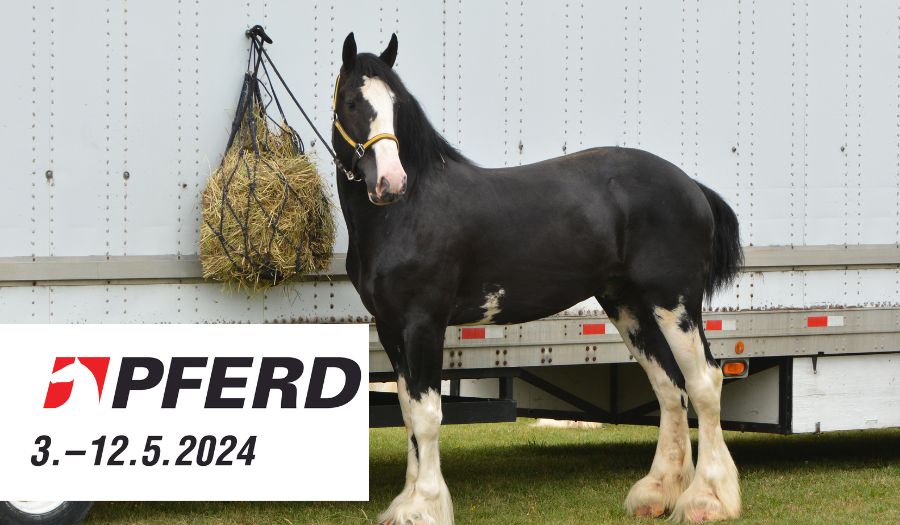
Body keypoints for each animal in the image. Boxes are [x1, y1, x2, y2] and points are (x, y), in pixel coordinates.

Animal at [331, 32, 743, 524]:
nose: (390, 182)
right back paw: (657, 493)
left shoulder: (423, 324)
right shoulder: (392, 327)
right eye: (352, 102)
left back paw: (707, 500)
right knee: (668, 386)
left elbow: (427, 415)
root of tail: (692, 187)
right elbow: (409, 412)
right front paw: (408, 503)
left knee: (704, 382)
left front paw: (425, 505)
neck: (408, 212)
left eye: (396, 104)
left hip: (674, 302)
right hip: (629, 306)